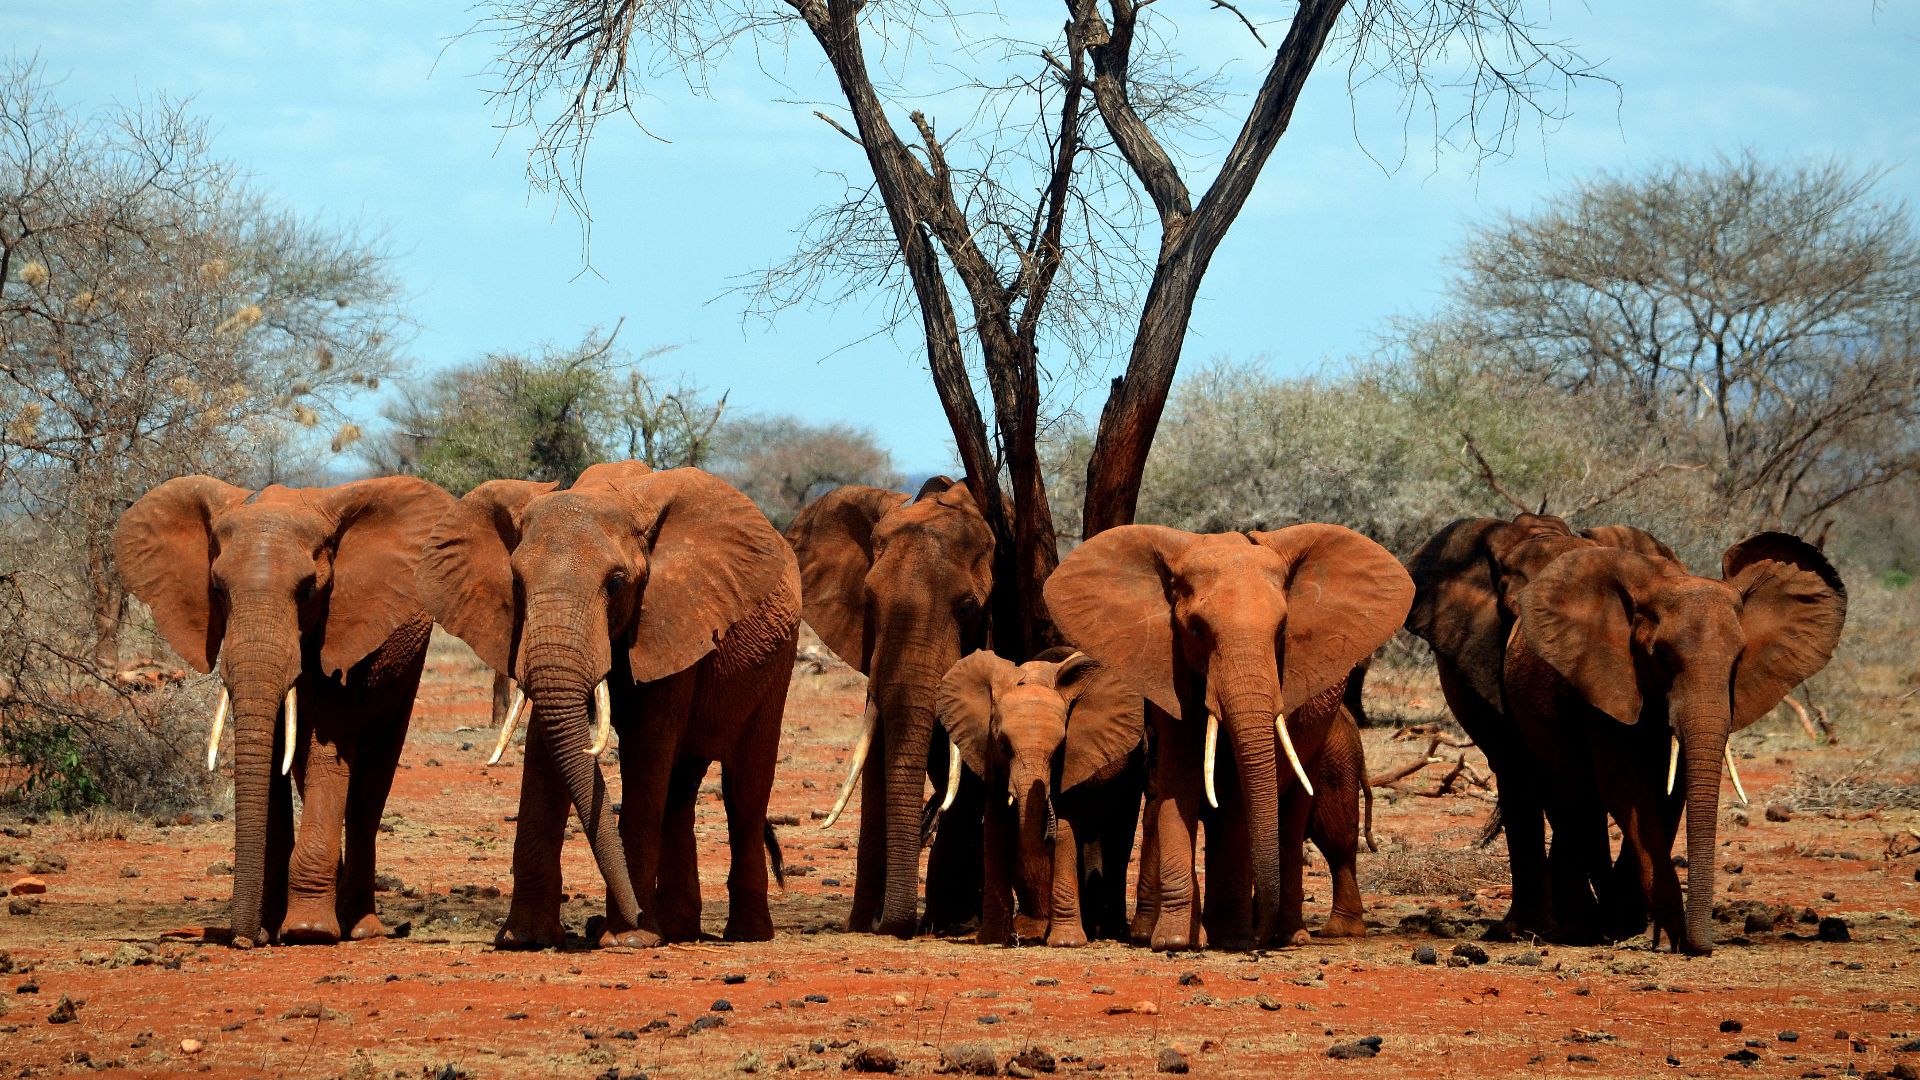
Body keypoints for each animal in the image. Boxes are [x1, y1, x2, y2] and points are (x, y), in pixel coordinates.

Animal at [114, 474, 453, 946]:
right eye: (217, 590)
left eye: (308, 591)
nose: (241, 938)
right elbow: (276, 753)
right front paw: (269, 928)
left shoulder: (339, 631)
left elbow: (327, 751)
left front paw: (308, 932)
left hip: (407, 668)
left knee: (370, 785)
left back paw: (361, 929)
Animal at [417, 462, 800, 948]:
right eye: (517, 583)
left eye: (616, 584)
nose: (621, 918)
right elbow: (546, 746)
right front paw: (525, 938)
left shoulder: (670, 617)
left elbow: (648, 747)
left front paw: (629, 939)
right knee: (681, 790)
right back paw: (677, 928)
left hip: (778, 661)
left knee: (745, 787)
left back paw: (743, 934)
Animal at [935, 647, 1145, 946]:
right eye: (1004, 745)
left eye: (1058, 751)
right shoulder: (989, 754)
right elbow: (995, 825)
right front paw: (992, 939)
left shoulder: (1075, 757)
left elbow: (1067, 828)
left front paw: (1066, 942)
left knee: (1119, 828)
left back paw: (1103, 929)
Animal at [1045, 524, 1412, 950]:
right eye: (1196, 629)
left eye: (1283, 630)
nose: (1257, 936)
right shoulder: (1168, 669)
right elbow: (1178, 783)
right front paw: (1175, 940)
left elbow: (1239, 796)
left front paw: (1232, 937)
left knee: (1303, 824)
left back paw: (1301, 934)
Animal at [1504, 532, 1845, 955]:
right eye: (1662, 656)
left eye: (1738, 660)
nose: (1704, 946)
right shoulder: (1605, 680)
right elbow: (1625, 786)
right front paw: (1670, 938)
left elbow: (1670, 791)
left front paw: (1660, 932)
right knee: (1569, 796)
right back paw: (1586, 928)